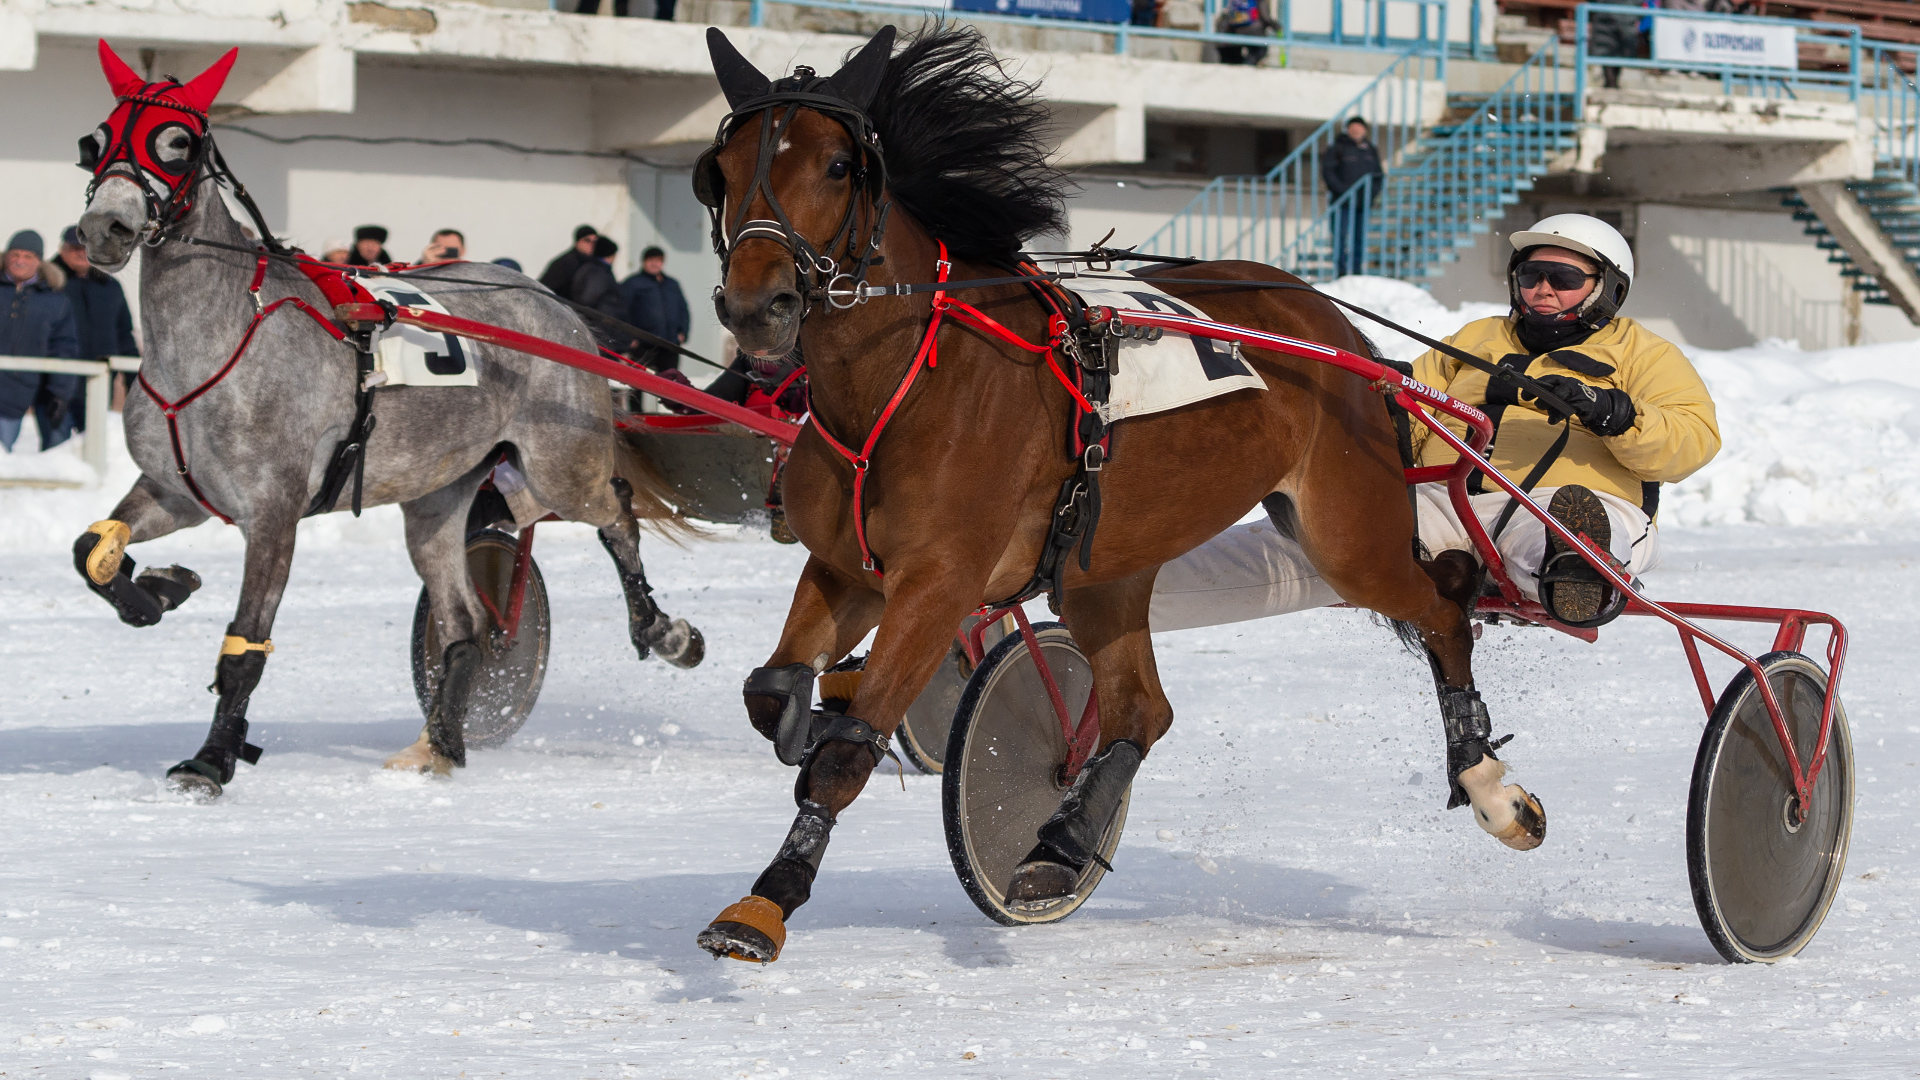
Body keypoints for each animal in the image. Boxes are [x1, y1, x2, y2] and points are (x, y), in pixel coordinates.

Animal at [74, 39, 710, 799]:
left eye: (176, 142)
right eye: (93, 143)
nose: (103, 228)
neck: (216, 340)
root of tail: (549, 300)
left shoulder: (274, 512)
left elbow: (246, 642)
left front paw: (211, 759)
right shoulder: (177, 492)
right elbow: (93, 550)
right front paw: (158, 590)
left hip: (561, 463)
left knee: (614, 512)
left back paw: (664, 632)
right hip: (437, 495)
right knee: (465, 623)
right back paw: (440, 743)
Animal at [698, 23, 1551, 957]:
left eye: (836, 166)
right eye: (723, 168)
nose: (757, 305)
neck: (906, 380)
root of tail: (1335, 327)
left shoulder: (937, 582)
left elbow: (849, 749)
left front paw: (768, 898)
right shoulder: (847, 569)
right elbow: (768, 690)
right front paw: (804, 714)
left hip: (1347, 536)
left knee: (1444, 609)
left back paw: (1493, 787)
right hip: (1107, 564)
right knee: (1141, 710)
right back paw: (1059, 845)